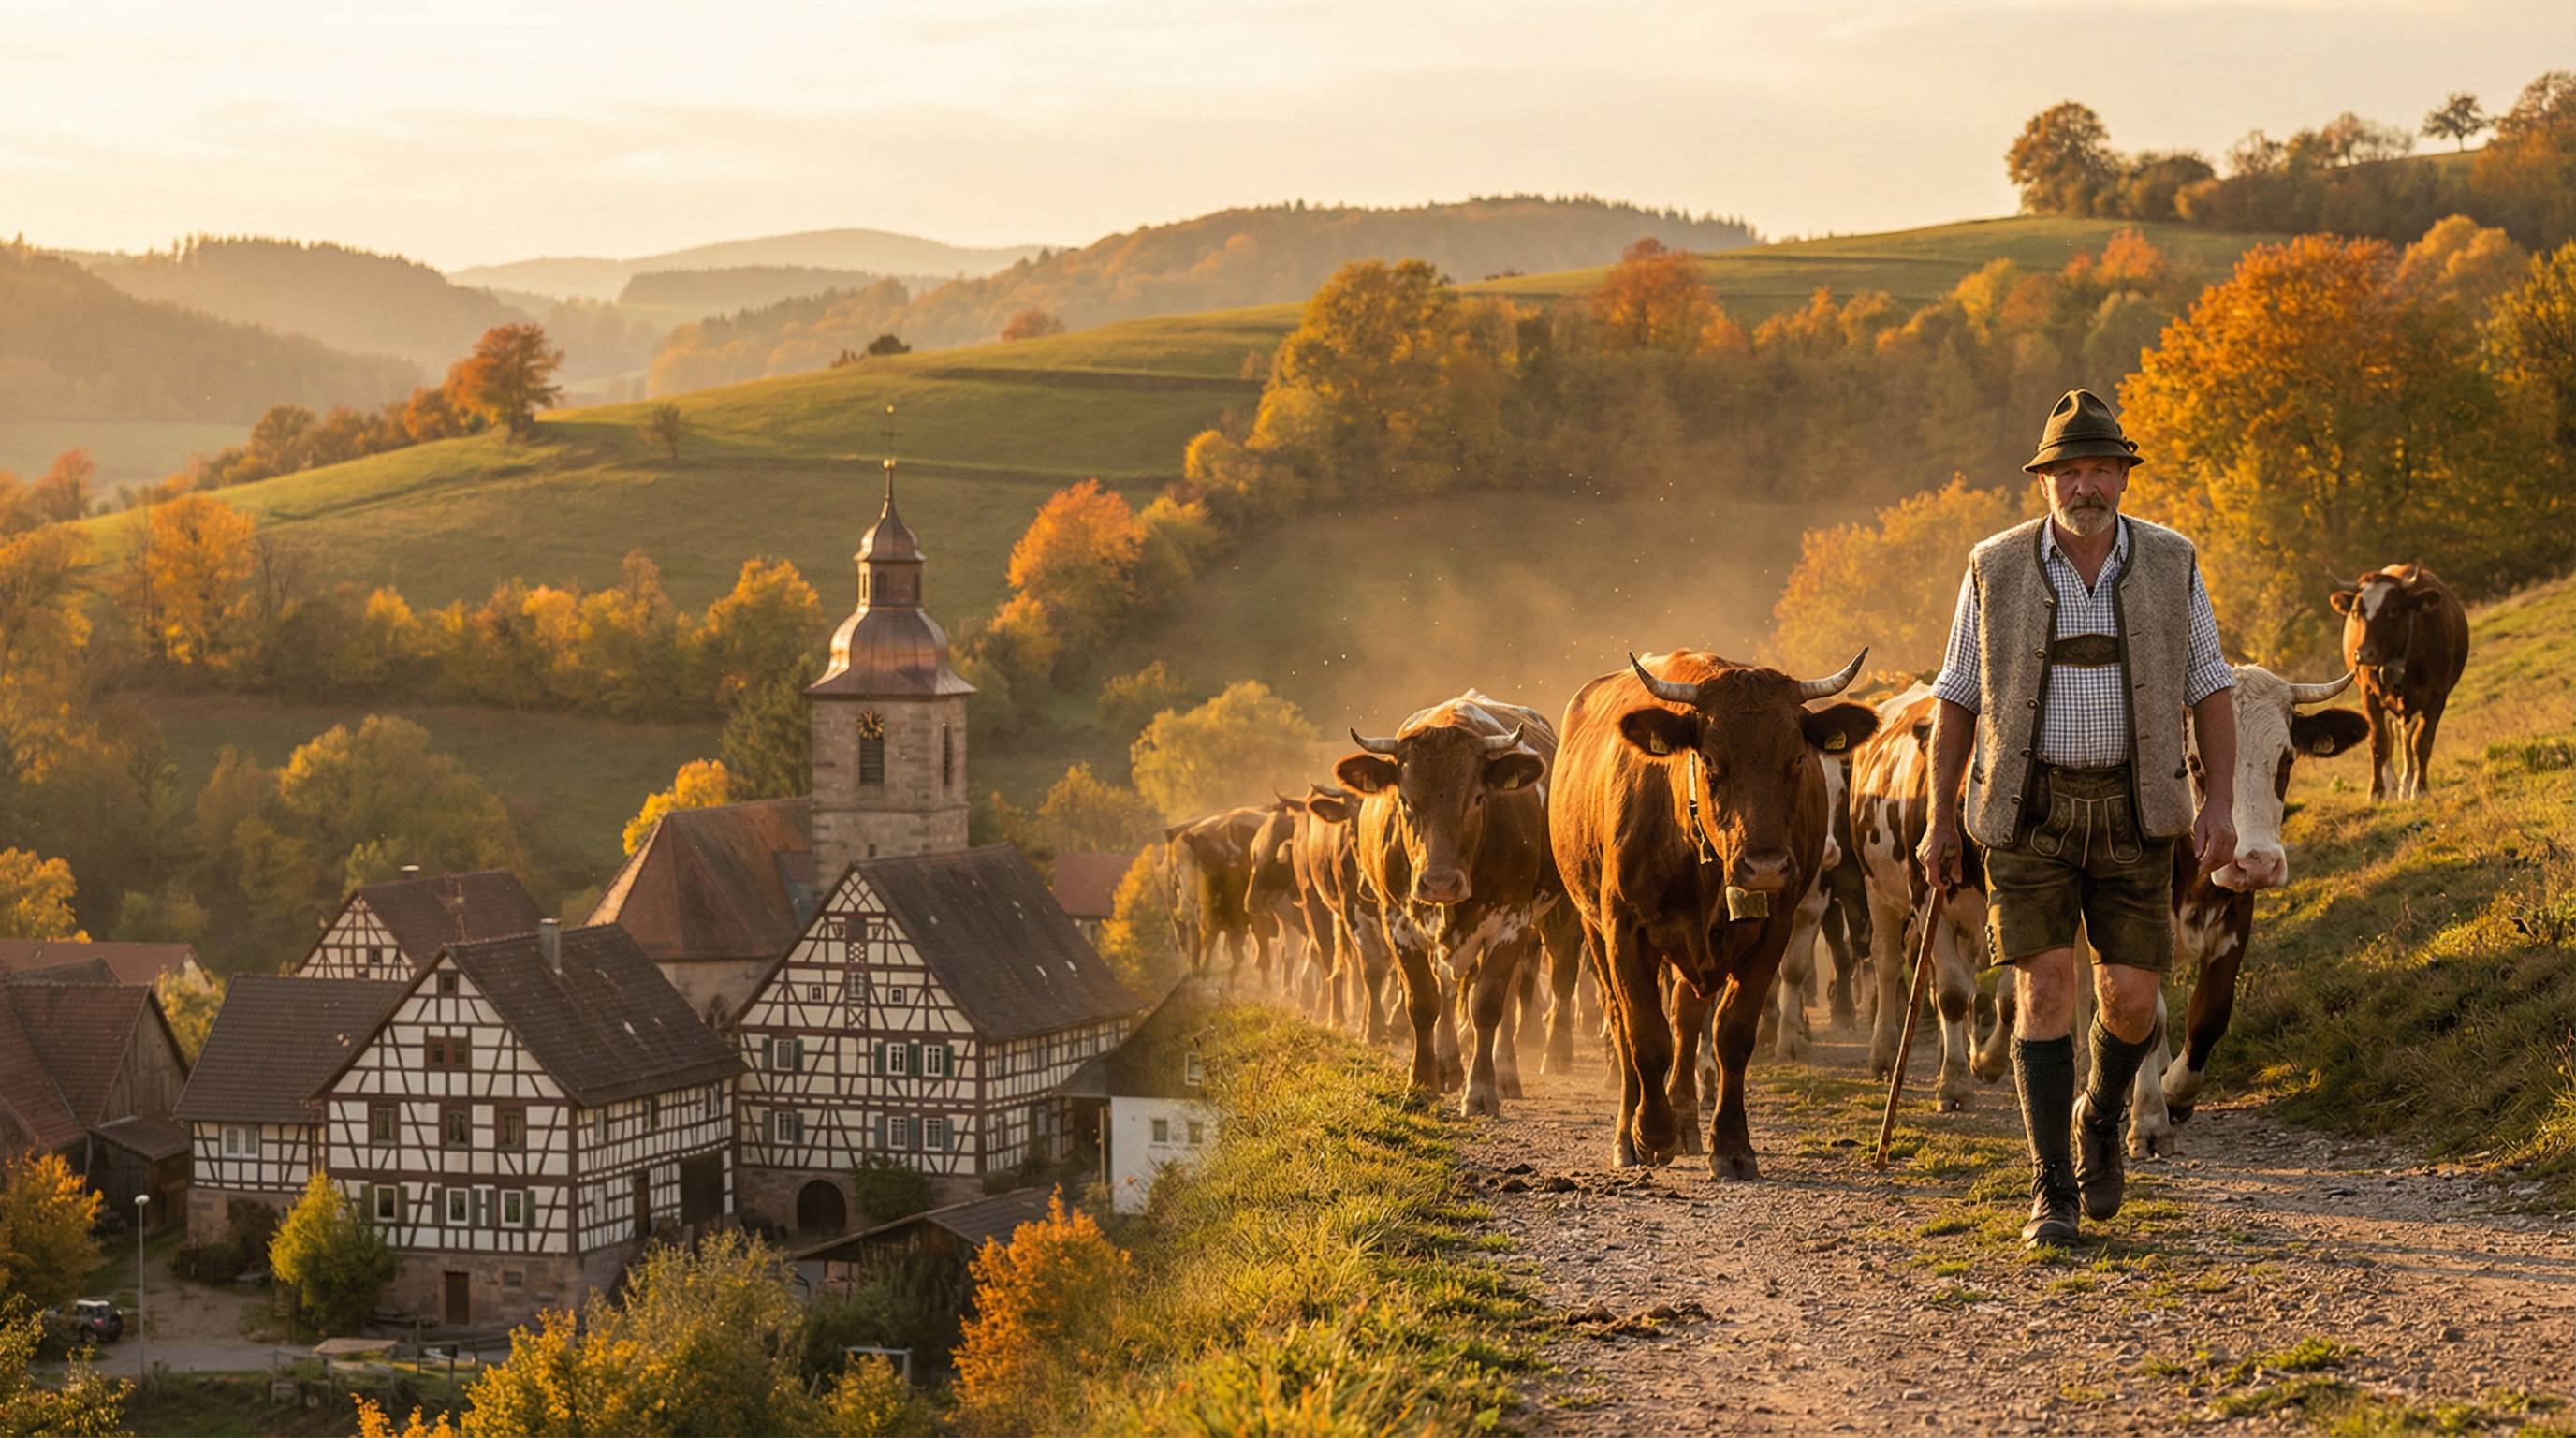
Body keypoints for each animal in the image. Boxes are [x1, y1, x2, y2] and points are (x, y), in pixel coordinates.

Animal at [1336, 691, 1565, 1116]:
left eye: (1477, 798)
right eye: (1405, 800)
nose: (1439, 882)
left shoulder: (1511, 921)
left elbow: (1487, 1004)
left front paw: (1482, 1090)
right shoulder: (1397, 922)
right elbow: (1422, 1002)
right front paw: (1422, 1083)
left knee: (1505, 998)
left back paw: (1504, 1072)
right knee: (1445, 985)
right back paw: (1447, 1065)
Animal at [1551, 649, 1877, 1177]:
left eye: (1796, 758)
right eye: (1709, 760)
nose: (1764, 866)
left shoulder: (1772, 932)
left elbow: (1731, 1035)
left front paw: (1730, 1145)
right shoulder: (1624, 929)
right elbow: (1644, 1034)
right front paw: (1650, 1133)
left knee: (1686, 1018)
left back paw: (1686, 1120)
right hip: (1593, 929)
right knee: (1622, 1022)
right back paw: (1630, 1134)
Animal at [1847, 684, 2004, 1112]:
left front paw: (1985, 1062)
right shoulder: (1925, 897)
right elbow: (1951, 993)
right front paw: (1954, 1084)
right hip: (1876, 892)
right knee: (1886, 964)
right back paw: (1884, 1055)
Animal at [2124, 666, 2369, 1155]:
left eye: (2287, 760)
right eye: (2194, 764)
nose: (2255, 862)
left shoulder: (2236, 920)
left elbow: (2209, 1016)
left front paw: (2175, 1094)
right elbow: (2147, 1017)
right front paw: (2148, 1119)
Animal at [2330, 563, 2470, 801]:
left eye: (2392, 610)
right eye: (2356, 613)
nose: (2363, 654)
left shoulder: (2436, 696)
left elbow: (2421, 742)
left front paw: (2419, 789)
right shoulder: (2369, 695)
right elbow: (2379, 743)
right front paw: (2376, 791)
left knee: (2406, 736)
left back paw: (2406, 784)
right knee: (2391, 735)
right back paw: (2392, 784)